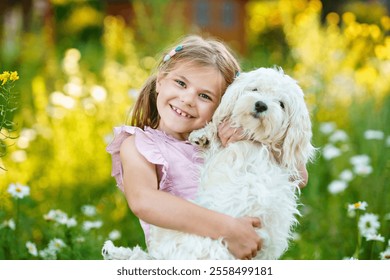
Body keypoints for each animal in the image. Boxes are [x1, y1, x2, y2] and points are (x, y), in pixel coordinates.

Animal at [102, 66, 316, 260]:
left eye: (281, 104)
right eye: (255, 89)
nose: (261, 105)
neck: (253, 139)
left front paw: (207, 135)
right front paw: (203, 135)